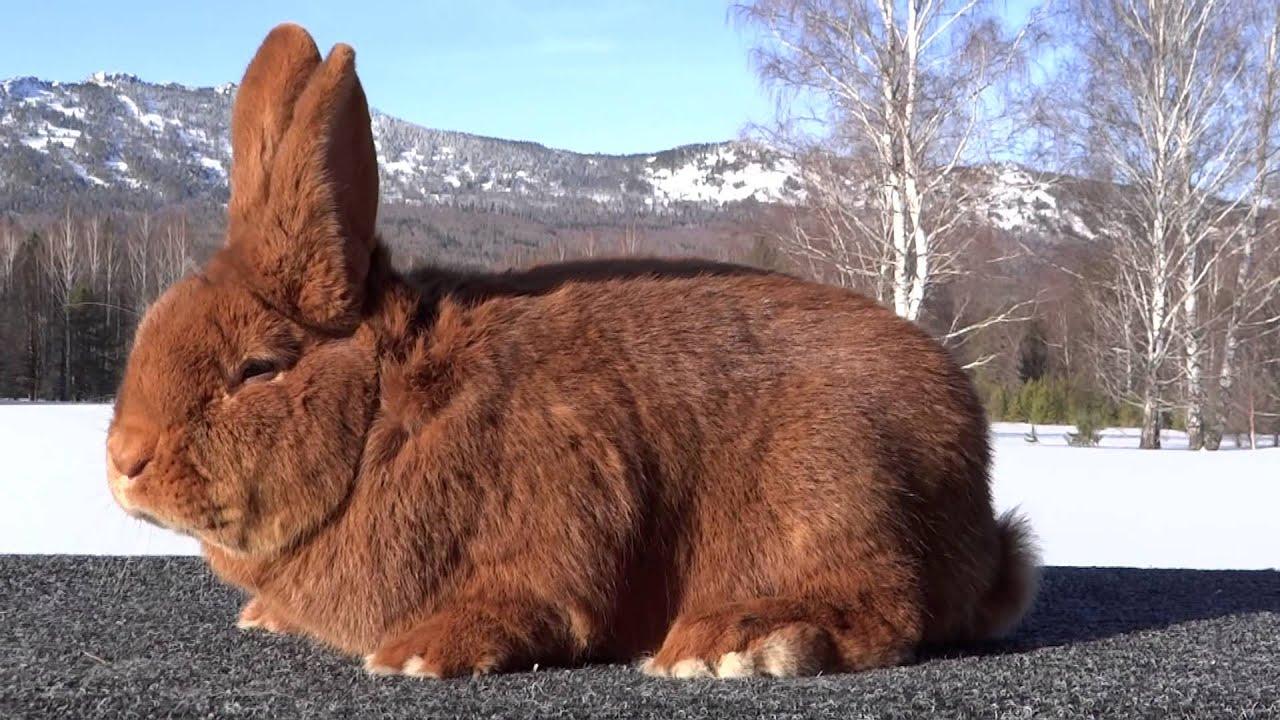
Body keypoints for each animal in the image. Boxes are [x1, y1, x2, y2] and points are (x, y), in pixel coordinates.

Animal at [104, 23, 1034, 676]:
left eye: (258, 368)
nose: (123, 461)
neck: (390, 415)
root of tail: (975, 499)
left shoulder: (565, 505)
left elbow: (543, 598)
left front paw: (419, 652)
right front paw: (267, 617)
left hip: (834, 482)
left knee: (887, 607)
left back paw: (734, 644)